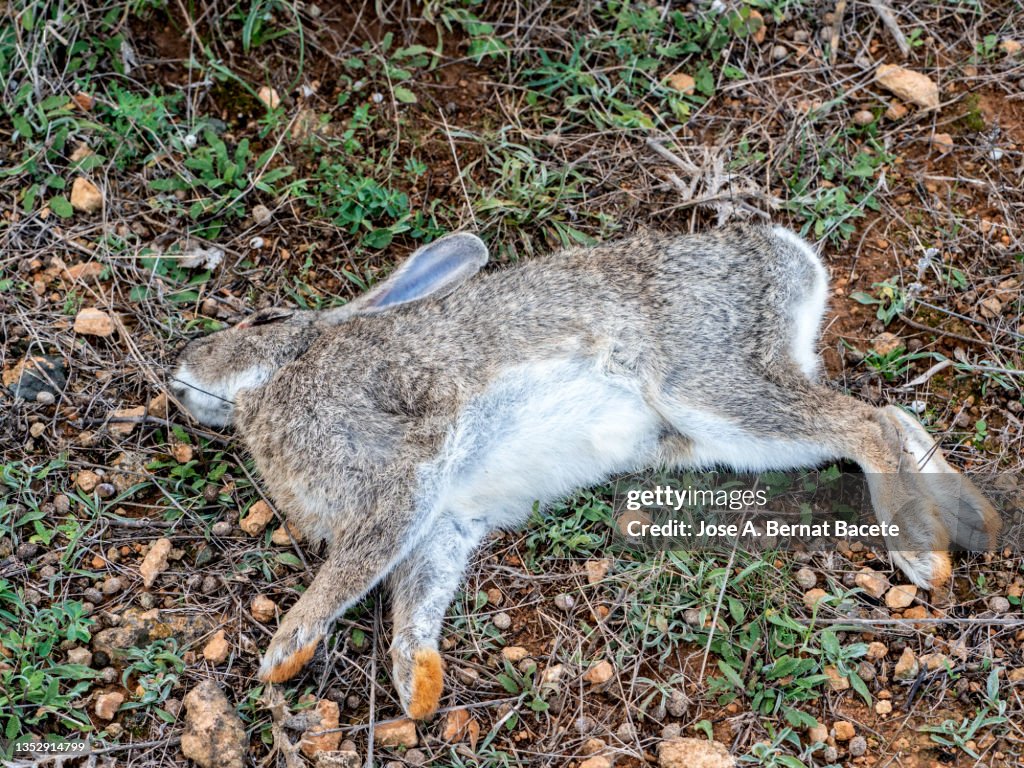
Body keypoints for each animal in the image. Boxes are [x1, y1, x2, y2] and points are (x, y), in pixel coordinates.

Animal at [171, 225, 1000, 720]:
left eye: (261, 322)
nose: (181, 371)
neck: (284, 374)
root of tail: (783, 253)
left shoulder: (405, 475)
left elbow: (355, 568)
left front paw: (283, 652)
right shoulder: (444, 520)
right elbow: (417, 599)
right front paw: (419, 687)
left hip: (708, 389)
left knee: (867, 424)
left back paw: (921, 555)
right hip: (724, 426)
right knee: (889, 414)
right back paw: (974, 522)